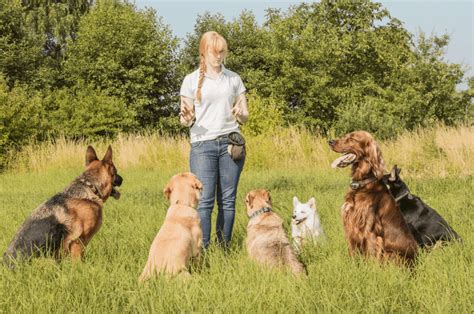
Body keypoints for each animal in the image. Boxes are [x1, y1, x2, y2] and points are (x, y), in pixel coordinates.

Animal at [328, 131, 416, 264]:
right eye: (346, 135)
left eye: (352, 138)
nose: (330, 142)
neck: (362, 184)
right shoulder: (350, 225)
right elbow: (352, 253)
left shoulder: (370, 230)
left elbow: (370, 257)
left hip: (392, 254)